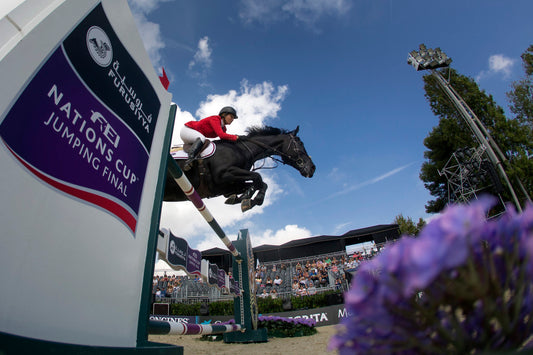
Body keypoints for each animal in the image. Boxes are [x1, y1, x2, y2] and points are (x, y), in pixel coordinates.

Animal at [164, 126, 314, 211]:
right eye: (300, 143)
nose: (312, 168)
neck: (242, 150)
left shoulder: (228, 186)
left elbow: (261, 183)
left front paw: (248, 199)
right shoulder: (223, 174)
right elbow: (258, 177)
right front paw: (247, 198)